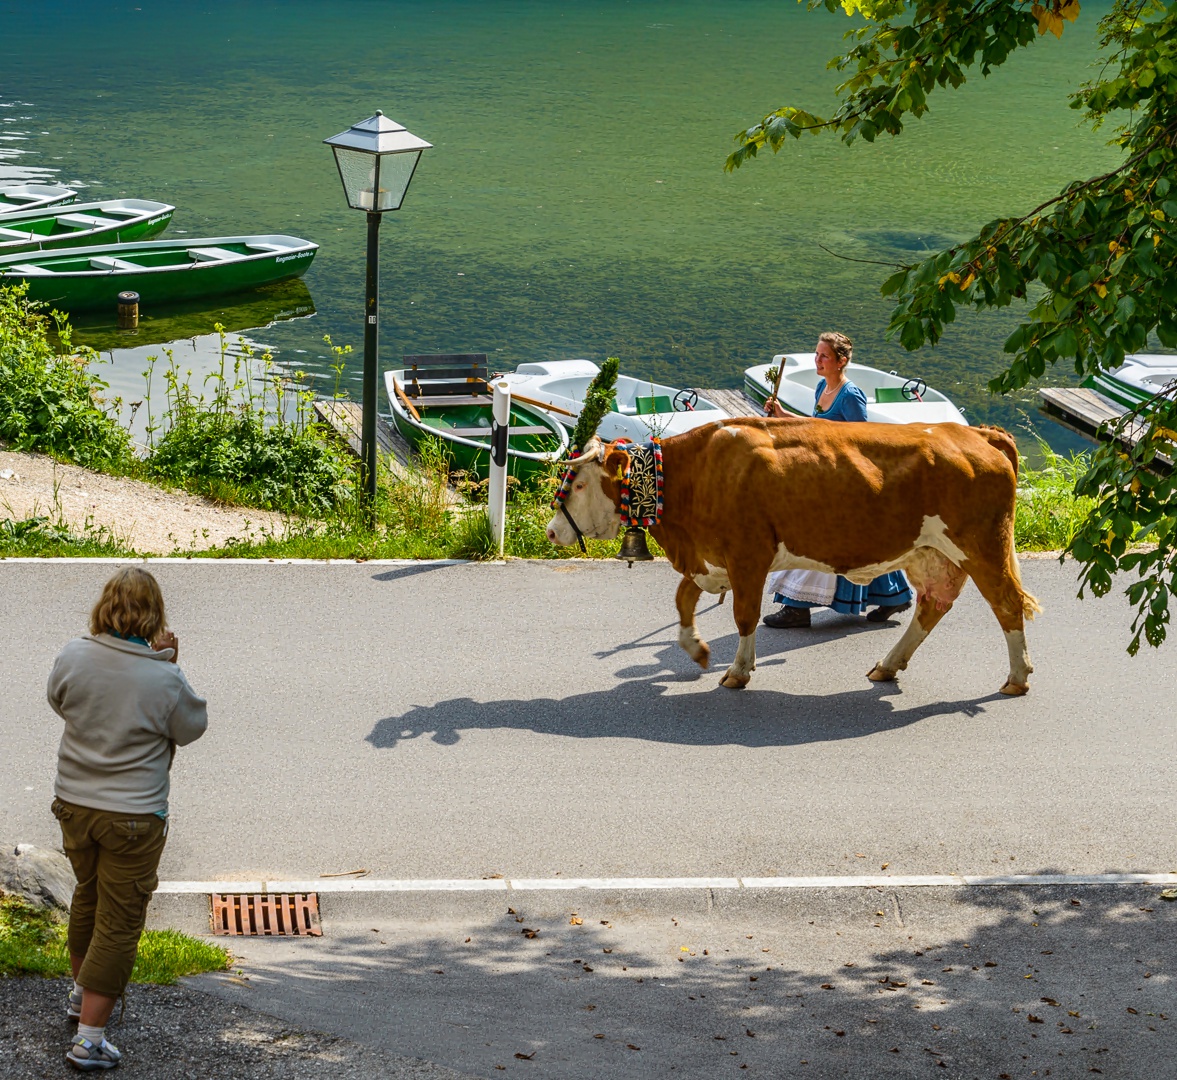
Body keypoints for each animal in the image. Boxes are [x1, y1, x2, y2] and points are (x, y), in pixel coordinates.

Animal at [543, 418, 1040, 696]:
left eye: (580, 483)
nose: (551, 531)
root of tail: (975, 432)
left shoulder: (748, 553)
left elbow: (744, 615)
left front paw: (738, 671)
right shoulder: (710, 559)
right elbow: (683, 600)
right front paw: (698, 650)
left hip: (982, 546)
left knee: (1008, 604)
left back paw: (1017, 678)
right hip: (928, 551)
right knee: (934, 603)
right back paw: (887, 665)